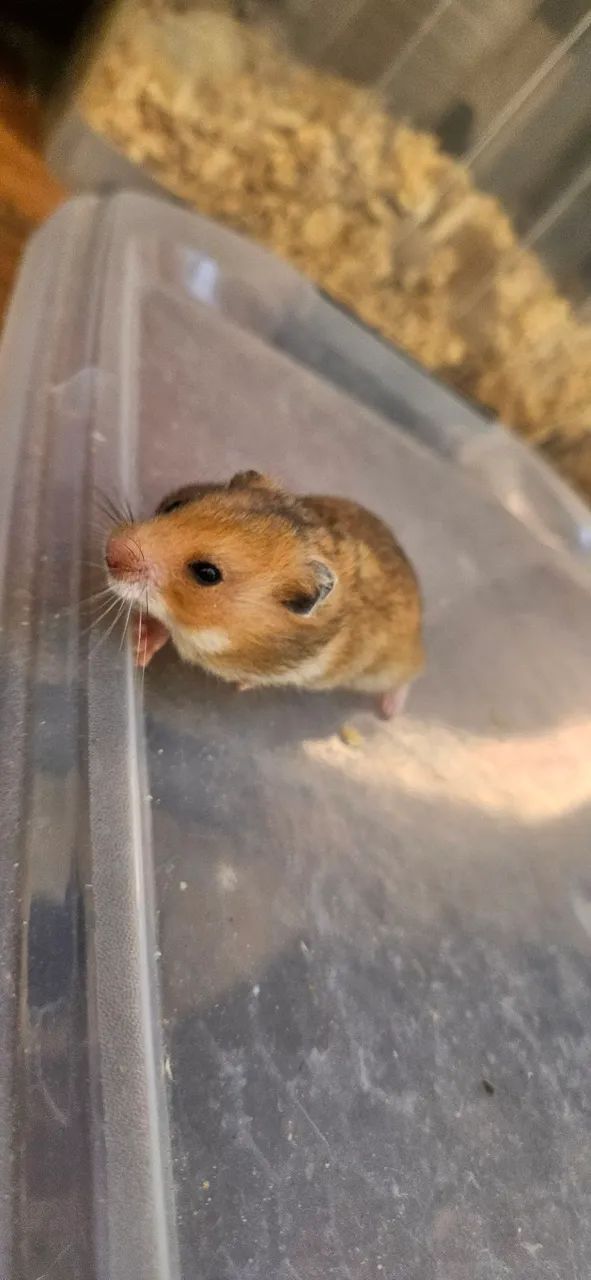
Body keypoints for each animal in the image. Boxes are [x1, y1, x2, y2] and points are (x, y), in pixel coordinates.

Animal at [105, 470, 423, 717]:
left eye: (207, 573)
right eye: (174, 505)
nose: (110, 551)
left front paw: (242, 684)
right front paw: (137, 646)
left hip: (386, 668)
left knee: (411, 672)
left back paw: (390, 712)